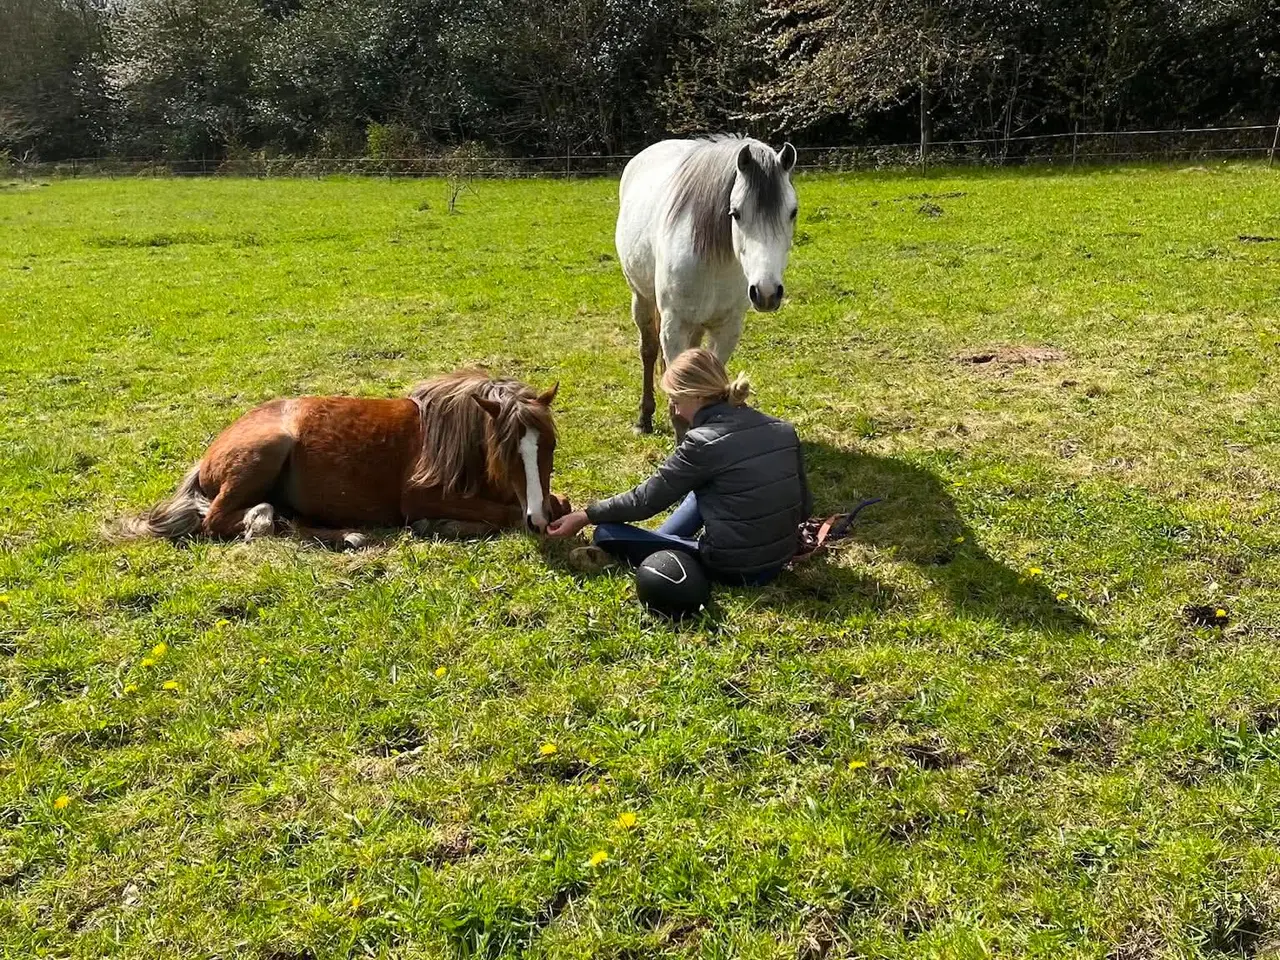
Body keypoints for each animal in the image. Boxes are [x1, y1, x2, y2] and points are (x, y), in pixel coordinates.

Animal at [116, 370, 566, 548]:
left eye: (550, 446)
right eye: (506, 450)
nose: (538, 521)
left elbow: (558, 503)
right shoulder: (419, 496)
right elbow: (502, 513)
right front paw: (441, 525)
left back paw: (346, 535)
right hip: (265, 452)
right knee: (221, 521)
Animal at [615, 136, 798, 436]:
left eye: (793, 212)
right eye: (735, 214)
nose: (767, 293)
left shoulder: (727, 329)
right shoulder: (673, 326)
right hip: (641, 298)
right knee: (648, 350)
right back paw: (644, 418)